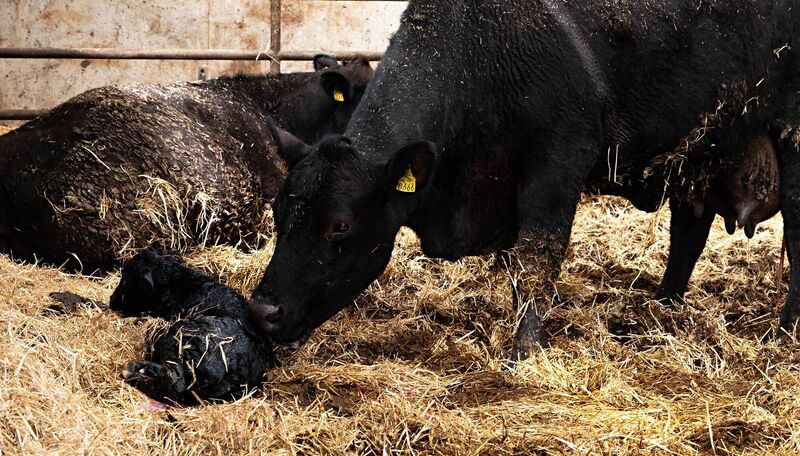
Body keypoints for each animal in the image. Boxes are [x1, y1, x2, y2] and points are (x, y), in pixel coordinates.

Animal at [248, 0, 800, 360]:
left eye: (339, 226)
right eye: (278, 212)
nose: (262, 309)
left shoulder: (558, 161)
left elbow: (537, 256)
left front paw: (524, 351)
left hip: (790, 135)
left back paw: (785, 330)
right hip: (701, 149)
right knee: (689, 231)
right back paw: (662, 308)